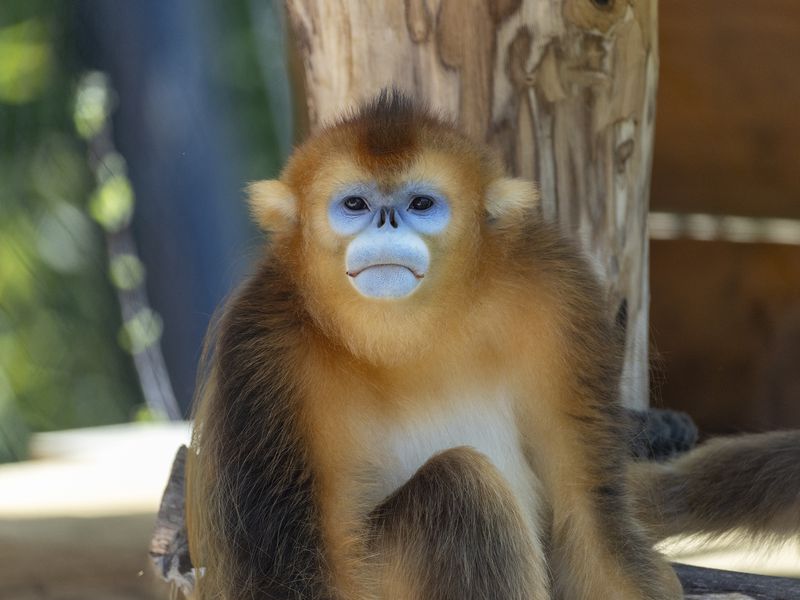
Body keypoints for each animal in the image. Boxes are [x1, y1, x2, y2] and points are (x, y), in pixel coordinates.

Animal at [185, 91, 797, 600]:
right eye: (355, 205)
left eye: (421, 203)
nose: (385, 224)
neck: (408, 338)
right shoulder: (261, 347)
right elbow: (285, 576)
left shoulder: (559, 294)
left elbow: (591, 521)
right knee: (460, 487)